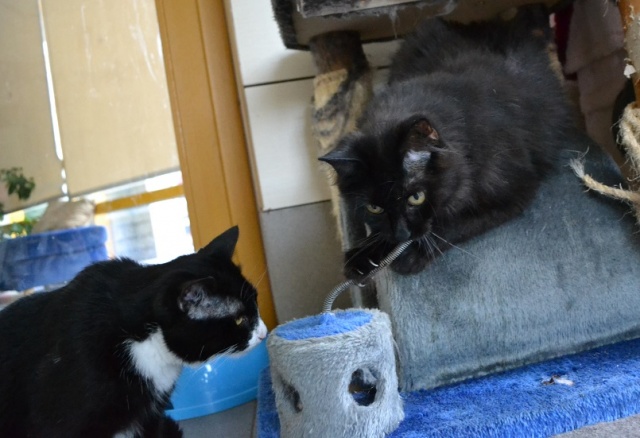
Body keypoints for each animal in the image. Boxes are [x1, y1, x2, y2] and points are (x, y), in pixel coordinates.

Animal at [320, 8, 581, 281]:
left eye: (416, 197)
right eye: (374, 208)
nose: (402, 235)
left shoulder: (515, 192)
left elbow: (453, 224)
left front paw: (411, 254)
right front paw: (363, 254)